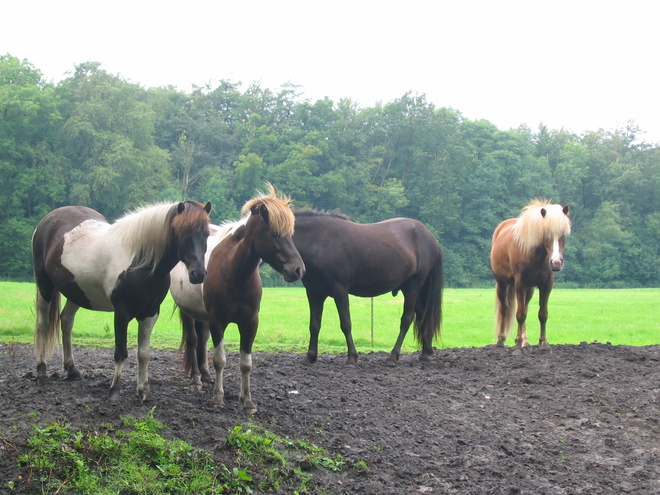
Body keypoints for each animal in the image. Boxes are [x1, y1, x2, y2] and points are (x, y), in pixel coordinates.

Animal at [32, 200, 211, 402]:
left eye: (206, 234)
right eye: (184, 233)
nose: (198, 274)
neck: (140, 261)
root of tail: (49, 218)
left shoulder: (150, 313)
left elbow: (143, 354)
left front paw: (144, 391)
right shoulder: (122, 313)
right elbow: (120, 353)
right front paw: (115, 390)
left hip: (77, 292)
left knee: (66, 321)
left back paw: (72, 370)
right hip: (44, 284)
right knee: (43, 325)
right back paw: (41, 373)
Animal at [170, 186, 304, 414]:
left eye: (290, 234)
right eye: (275, 234)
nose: (298, 270)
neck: (234, 271)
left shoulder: (250, 322)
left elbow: (246, 363)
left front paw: (247, 401)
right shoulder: (218, 320)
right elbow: (220, 360)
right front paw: (218, 398)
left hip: (204, 317)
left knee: (202, 339)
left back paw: (206, 376)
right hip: (188, 312)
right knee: (194, 340)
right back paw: (197, 379)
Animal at [292, 211, 444, 366]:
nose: (296, 270)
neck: (319, 241)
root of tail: (430, 237)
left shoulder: (340, 290)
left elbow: (346, 324)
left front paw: (352, 357)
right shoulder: (314, 293)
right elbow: (314, 325)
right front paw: (310, 357)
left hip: (414, 286)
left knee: (407, 319)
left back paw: (393, 355)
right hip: (410, 288)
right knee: (423, 316)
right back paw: (425, 353)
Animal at [490, 200, 572, 350]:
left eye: (563, 235)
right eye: (546, 234)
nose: (556, 263)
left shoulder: (546, 285)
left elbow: (542, 314)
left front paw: (543, 342)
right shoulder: (520, 284)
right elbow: (520, 314)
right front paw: (517, 342)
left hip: (530, 289)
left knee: (526, 307)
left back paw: (525, 341)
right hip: (502, 283)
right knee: (504, 308)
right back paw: (501, 339)